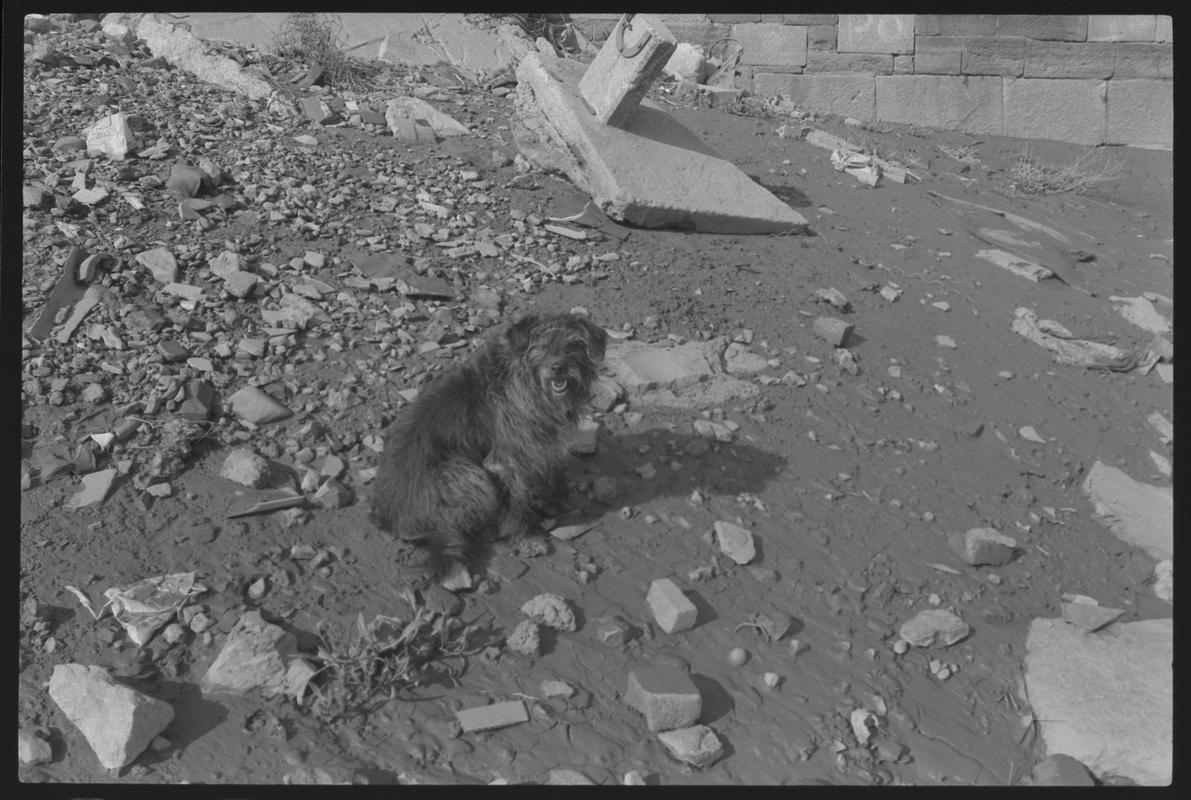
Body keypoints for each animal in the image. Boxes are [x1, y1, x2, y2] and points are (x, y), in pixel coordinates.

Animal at [369, 309, 605, 578]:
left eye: (574, 344)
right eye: (540, 345)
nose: (558, 368)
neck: (526, 384)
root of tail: (390, 519)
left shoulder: (543, 443)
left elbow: (554, 469)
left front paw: (564, 497)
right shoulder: (505, 463)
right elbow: (517, 503)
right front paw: (526, 537)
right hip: (466, 474)